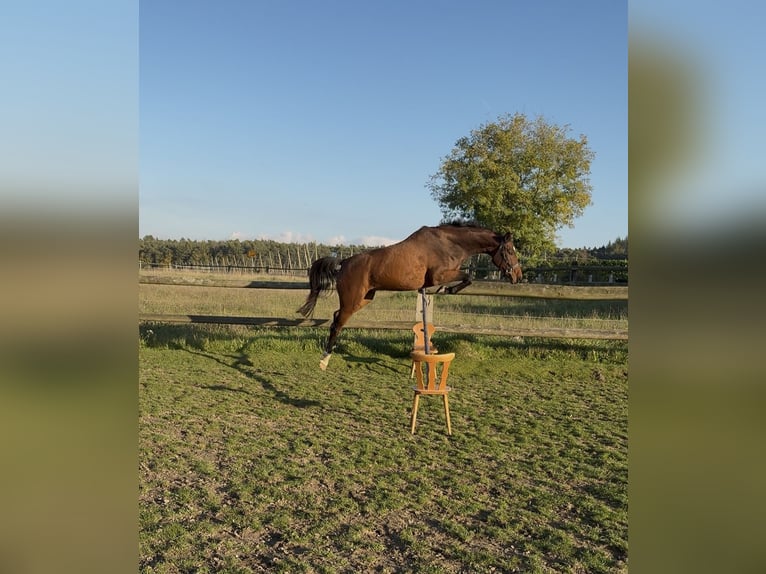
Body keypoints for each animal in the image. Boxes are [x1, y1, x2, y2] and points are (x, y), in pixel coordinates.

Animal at [297, 222, 523, 370]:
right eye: (510, 251)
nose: (517, 276)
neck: (450, 244)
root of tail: (343, 262)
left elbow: (467, 278)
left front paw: (445, 290)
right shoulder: (439, 275)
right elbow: (468, 277)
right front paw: (446, 290)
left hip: (364, 299)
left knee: (336, 317)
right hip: (352, 300)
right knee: (337, 323)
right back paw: (324, 359)